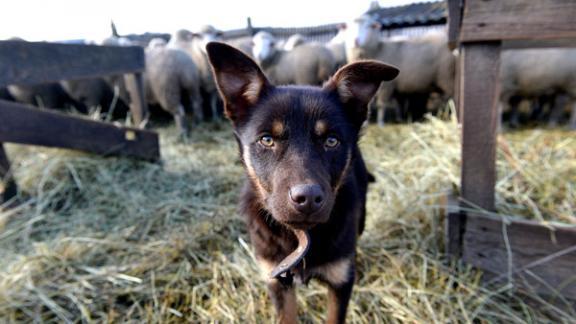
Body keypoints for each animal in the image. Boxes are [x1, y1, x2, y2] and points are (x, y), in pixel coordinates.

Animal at [207, 41, 400, 322]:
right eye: (267, 140)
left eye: (331, 141)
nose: (307, 198)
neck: (302, 238)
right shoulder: (276, 280)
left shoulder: (340, 281)